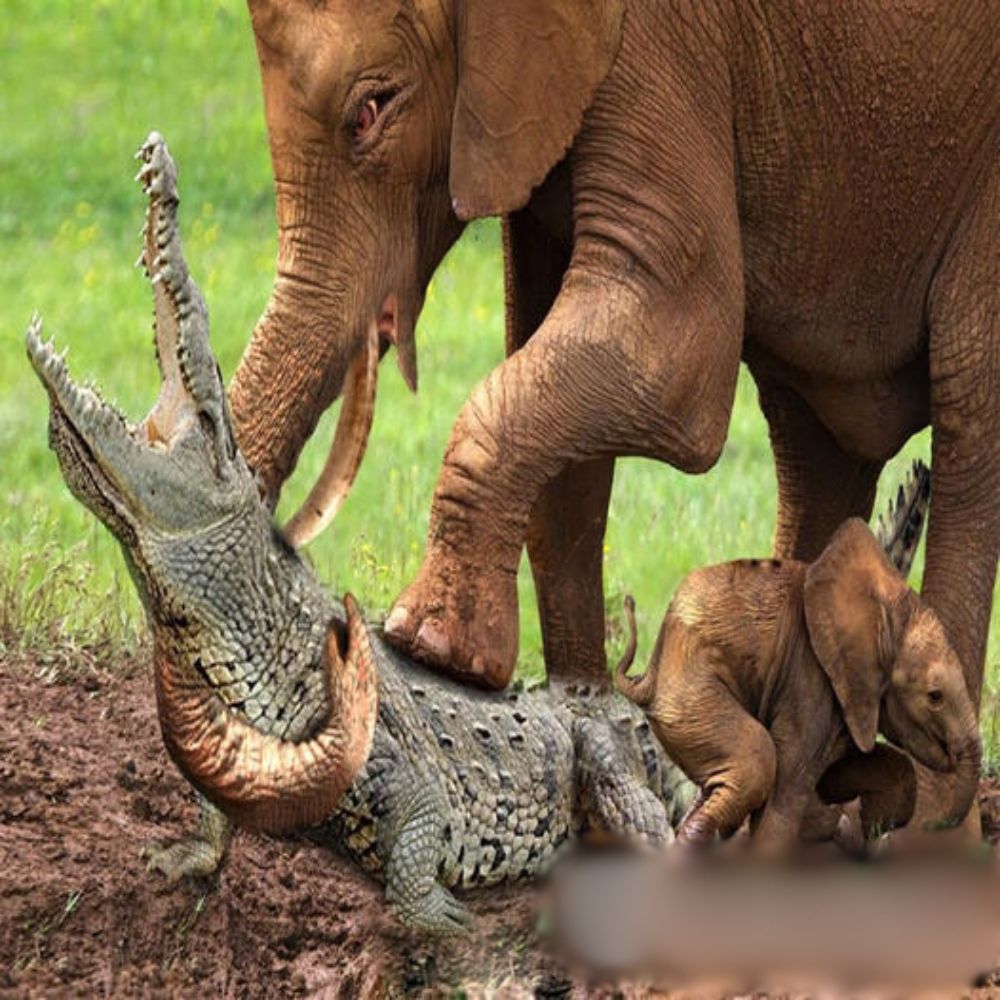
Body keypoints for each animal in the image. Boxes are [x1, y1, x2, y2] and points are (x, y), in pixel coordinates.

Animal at [229, 0, 1000, 720]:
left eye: (370, 112)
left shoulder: (658, 43)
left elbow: (672, 349)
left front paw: (432, 648)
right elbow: (556, 377)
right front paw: (580, 705)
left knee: (968, 421)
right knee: (814, 452)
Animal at [612, 516, 980, 852]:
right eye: (935, 696)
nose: (933, 827)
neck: (881, 615)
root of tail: (649, 675)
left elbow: (861, 770)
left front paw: (851, 829)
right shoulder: (807, 677)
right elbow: (787, 790)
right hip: (691, 692)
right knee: (756, 763)